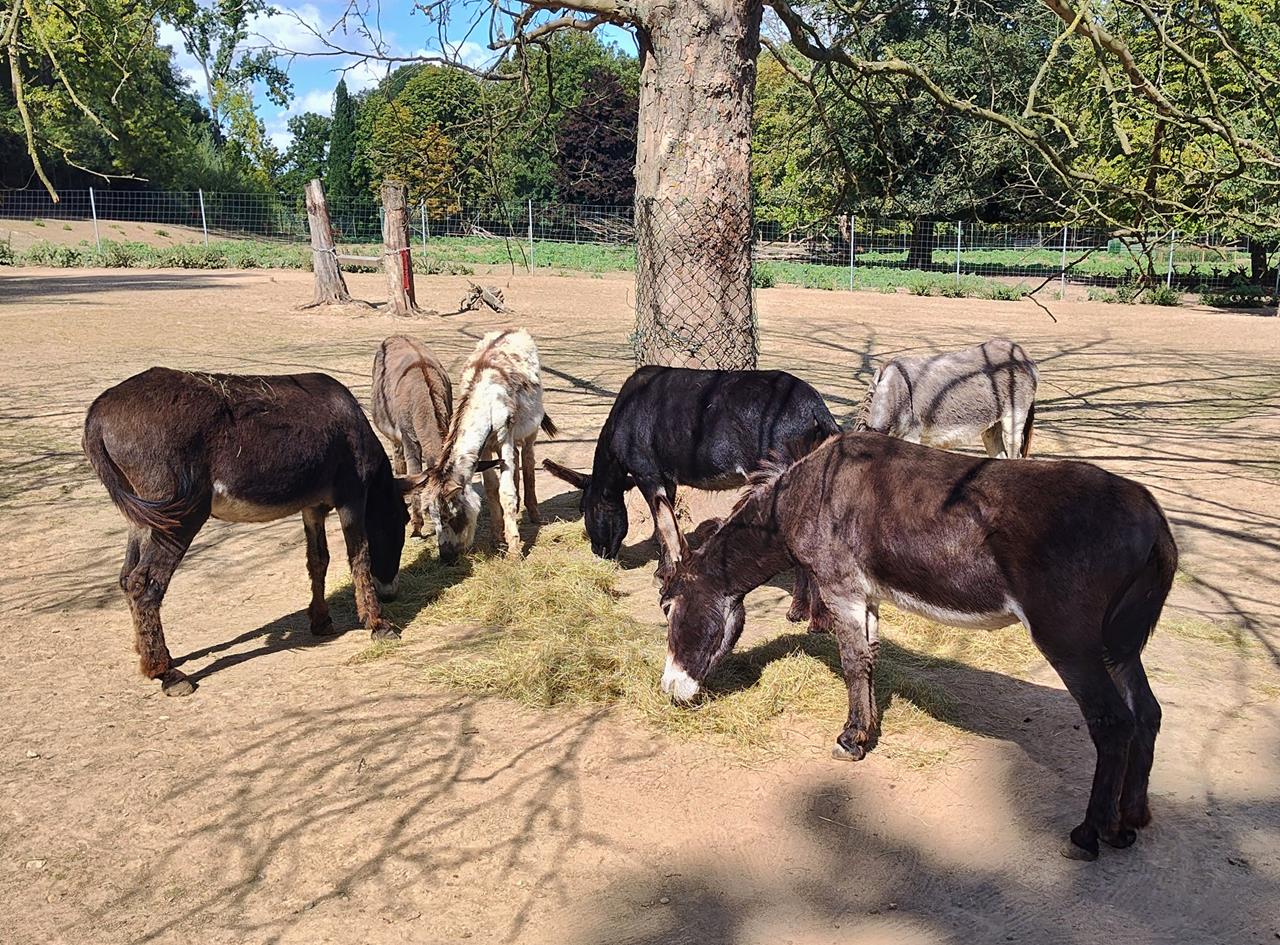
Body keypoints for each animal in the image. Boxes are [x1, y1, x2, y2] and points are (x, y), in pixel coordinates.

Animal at [655, 431, 1176, 861]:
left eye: (667, 607)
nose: (669, 692)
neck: (800, 498)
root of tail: (1154, 521)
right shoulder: (865, 594)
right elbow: (868, 659)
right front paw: (864, 733)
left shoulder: (840, 586)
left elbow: (851, 661)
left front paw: (849, 741)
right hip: (1119, 646)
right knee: (1147, 712)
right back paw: (1128, 823)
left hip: (1069, 642)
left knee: (1112, 722)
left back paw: (1089, 835)